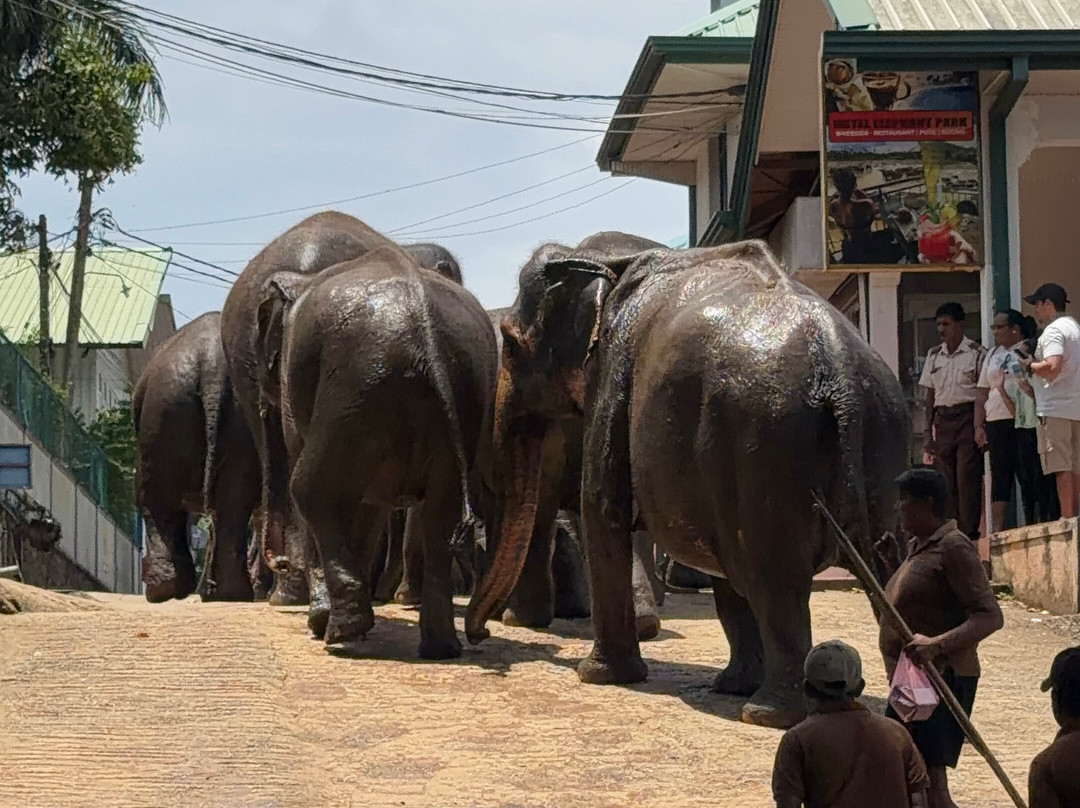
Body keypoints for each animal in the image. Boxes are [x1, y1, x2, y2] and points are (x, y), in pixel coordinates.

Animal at [133, 312, 262, 603]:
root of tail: (212, 364)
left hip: (163, 417)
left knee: (156, 500)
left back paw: (165, 592)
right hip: (210, 416)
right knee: (233, 501)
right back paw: (228, 594)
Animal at [272, 245, 497, 657]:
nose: (278, 564)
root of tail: (423, 323)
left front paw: (319, 625)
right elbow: (370, 510)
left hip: (354, 390)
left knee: (310, 489)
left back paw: (339, 634)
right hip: (458, 391)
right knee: (440, 512)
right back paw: (440, 649)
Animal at [466, 237, 909, 729]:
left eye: (509, 343)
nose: (479, 635)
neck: (606, 263)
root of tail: (837, 365)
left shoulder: (613, 377)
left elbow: (602, 508)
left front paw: (597, 676)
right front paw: (730, 685)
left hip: (766, 452)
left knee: (777, 584)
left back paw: (767, 714)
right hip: (876, 451)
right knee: (891, 584)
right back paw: (899, 713)